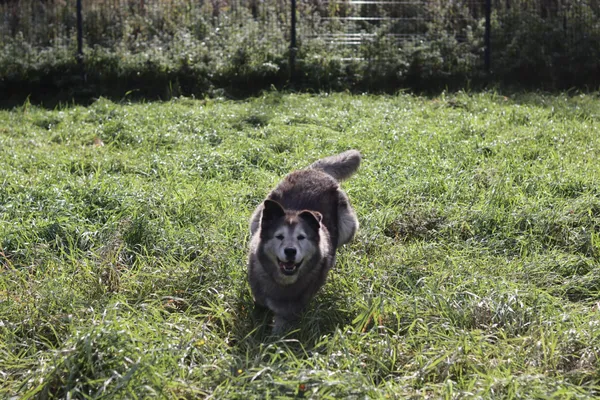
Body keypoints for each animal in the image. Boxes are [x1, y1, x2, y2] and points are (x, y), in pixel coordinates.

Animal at [247, 148, 360, 332]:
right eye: (279, 236)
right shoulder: (259, 299)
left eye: (301, 237)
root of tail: (318, 172)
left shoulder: (290, 313)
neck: (283, 283)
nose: (290, 251)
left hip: (349, 226)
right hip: (257, 217)